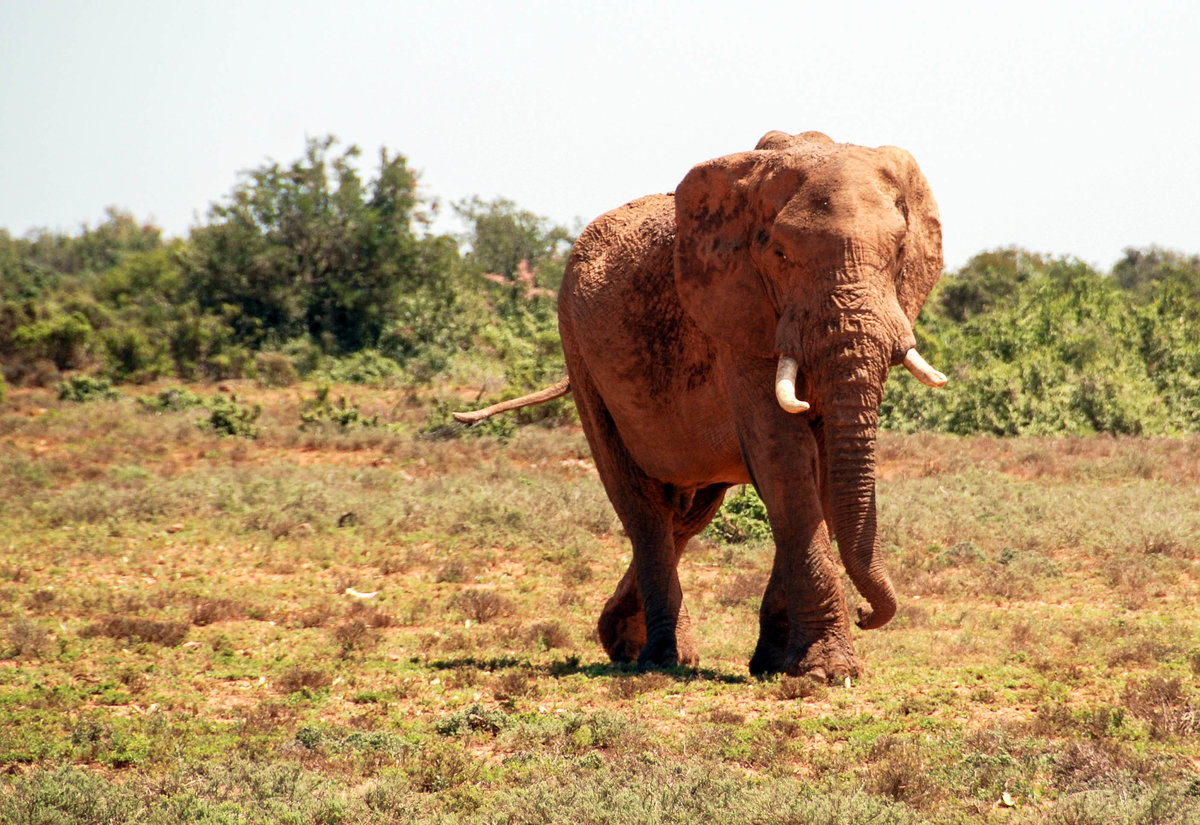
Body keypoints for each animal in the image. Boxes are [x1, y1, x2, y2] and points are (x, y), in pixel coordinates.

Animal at [455, 130, 947, 682]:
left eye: (900, 250)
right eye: (779, 254)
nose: (866, 615)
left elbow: (815, 472)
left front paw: (779, 665)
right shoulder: (739, 314)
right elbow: (784, 459)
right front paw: (824, 672)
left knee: (686, 516)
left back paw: (625, 641)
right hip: (578, 350)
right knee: (642, 508)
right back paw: (661, 658)